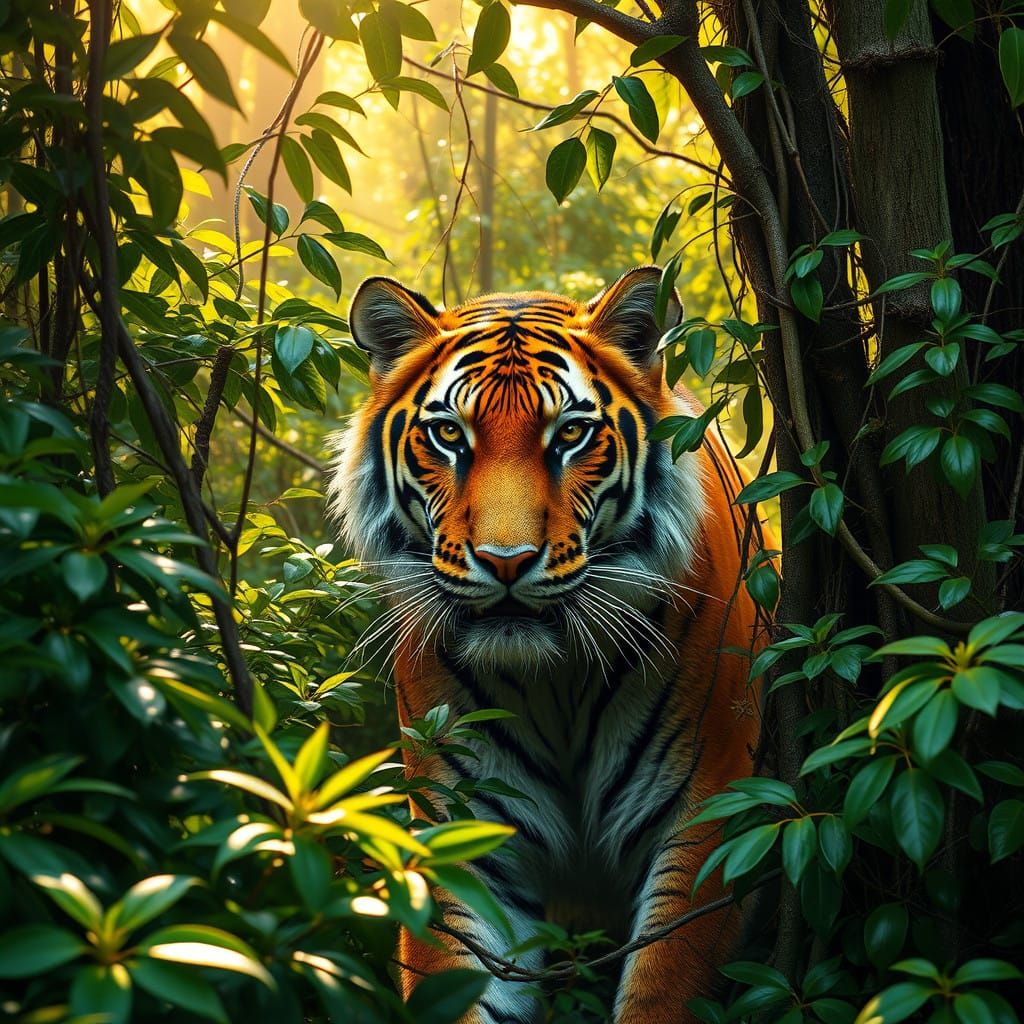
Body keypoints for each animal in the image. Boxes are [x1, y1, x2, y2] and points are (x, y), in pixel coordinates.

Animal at [328, 267, 765, 1024]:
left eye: (572, 435)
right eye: (449, 434)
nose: (506, 561)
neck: (552, 681)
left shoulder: (708, 818)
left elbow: (662, 991)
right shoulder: (465, 835)